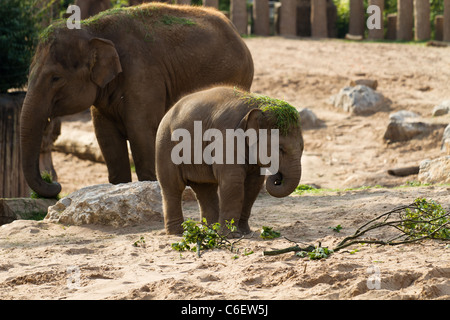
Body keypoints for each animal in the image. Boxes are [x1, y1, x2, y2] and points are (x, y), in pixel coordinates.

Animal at [21, 3, 253, 198]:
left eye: (55, 78)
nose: (54, 184)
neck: (93, 29)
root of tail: (235, 31)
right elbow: (107, 139)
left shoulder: (142, 77)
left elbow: (142, 133)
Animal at [156, 85, 304, 235]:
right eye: (280, 148)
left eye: (302, 147)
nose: (278, 177)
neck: (257, 105)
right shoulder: (226, 137)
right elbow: (232, 181)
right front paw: (230, 234)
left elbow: (253, 184)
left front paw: (244, 231)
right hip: (165, 146)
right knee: (173, 187)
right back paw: (178, 232)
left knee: (205, 189)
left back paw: (211, 229)